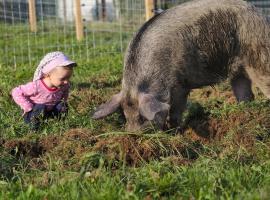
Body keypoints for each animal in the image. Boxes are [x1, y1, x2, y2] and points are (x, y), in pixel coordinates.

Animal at [92, 0, 270, 132]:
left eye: (142, 118)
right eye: (125, 115)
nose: (132, 135)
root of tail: (259, 14)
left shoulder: (179, 85)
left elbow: (176, 111)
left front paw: (174, 132)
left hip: (258, 56)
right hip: (238, 71)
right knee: (245, 94)